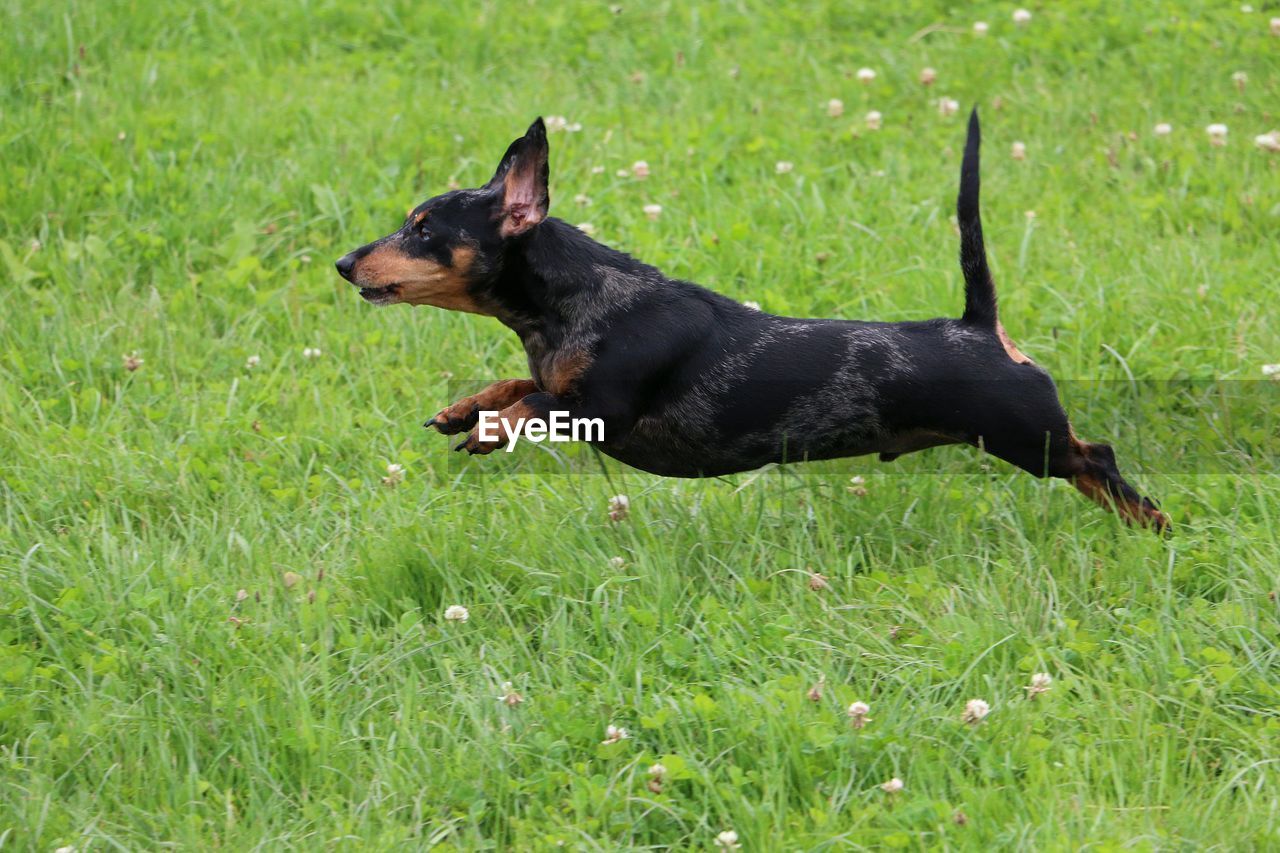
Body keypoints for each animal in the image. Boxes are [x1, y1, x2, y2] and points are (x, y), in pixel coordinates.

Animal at [335, 109, 1167, 527]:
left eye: (422, 229)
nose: (343, 263)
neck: (576, 304)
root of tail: (977, 324)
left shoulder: (602, 408)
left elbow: (536, 401)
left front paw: (491, 428)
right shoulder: (556, 377)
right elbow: (517, 383)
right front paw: (466, 409)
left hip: (1030, 434)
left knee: (1101, 458)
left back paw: (1151, 529)